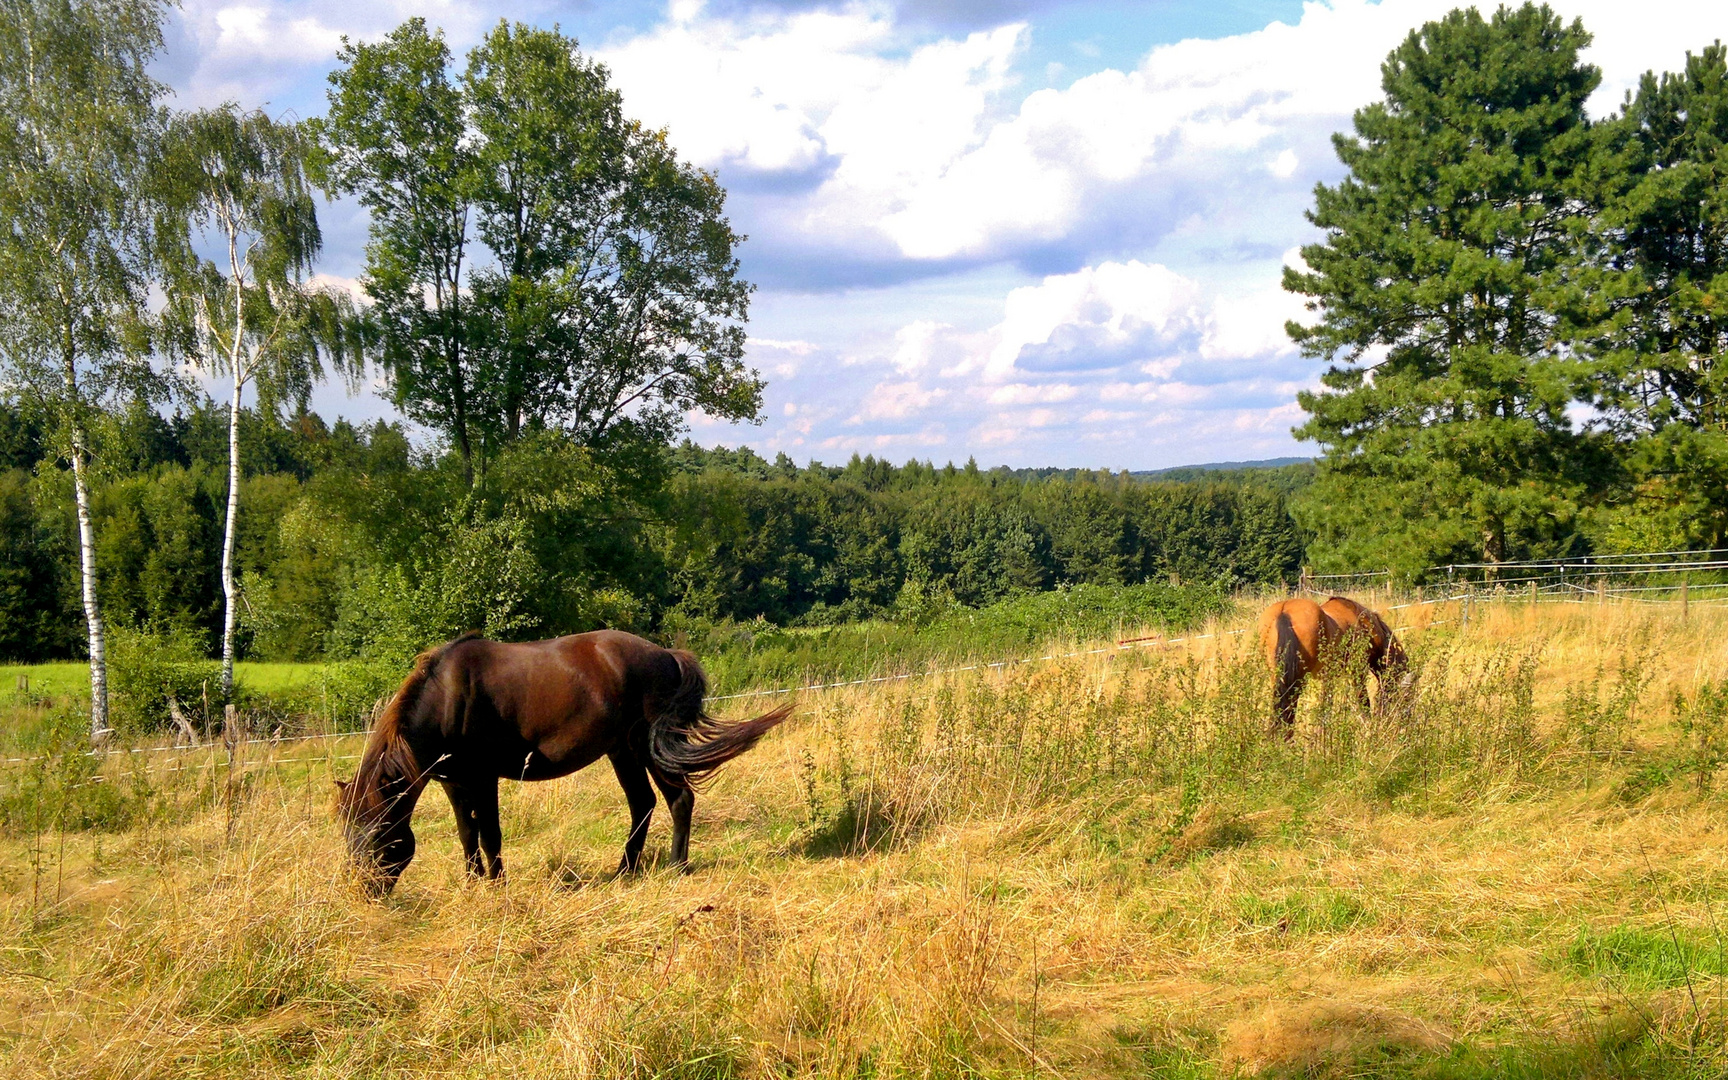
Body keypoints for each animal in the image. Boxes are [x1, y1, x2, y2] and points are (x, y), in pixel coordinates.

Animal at [333, 628, 791, 898]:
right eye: (347, 833)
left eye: (378, 834)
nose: (365, 891)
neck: (448, 698)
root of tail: (667, 654)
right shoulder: (453, 781)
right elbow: (467, 835)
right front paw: (473, 883)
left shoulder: (484, 778)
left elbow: (490, 834)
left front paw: (497, 887)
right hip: (622, 750)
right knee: (642, 804)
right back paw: (624, 872)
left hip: (650, 746)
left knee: (679, 800)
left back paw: (677, 867)